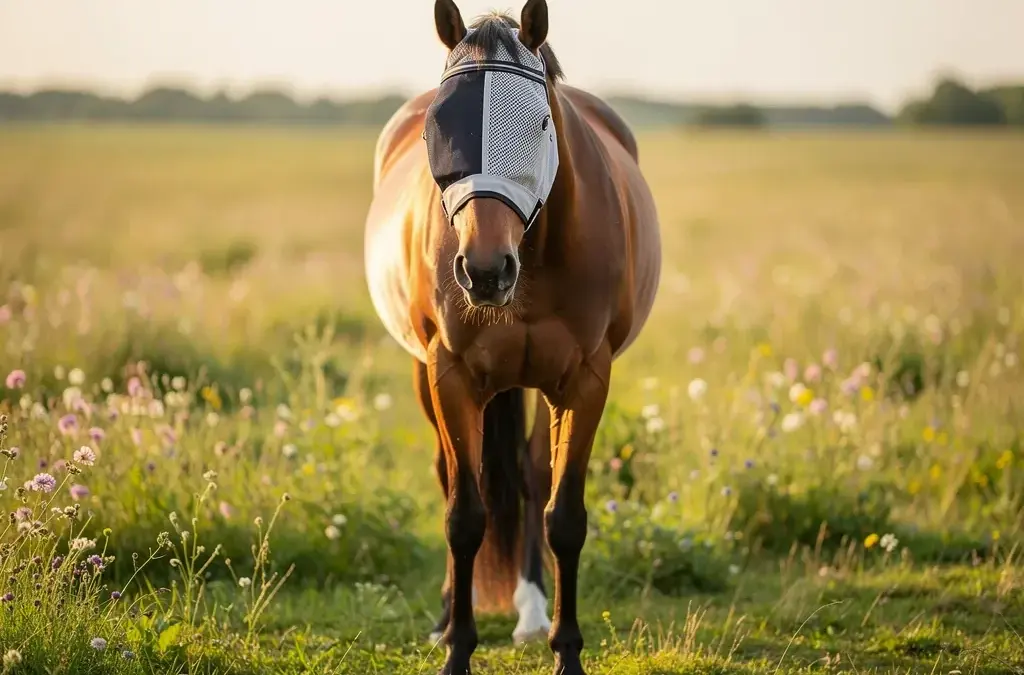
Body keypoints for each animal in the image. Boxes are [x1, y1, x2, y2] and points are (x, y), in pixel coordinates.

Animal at [363, 1, 661, 672]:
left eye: (540, 122)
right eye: (438, 129)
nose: (483, 270)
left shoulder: (585, 380)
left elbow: (563, 516)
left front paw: (566, 652)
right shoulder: (450, 374)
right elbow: (463, 514)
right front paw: (456, 648)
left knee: (528, 477)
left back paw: (530, 611)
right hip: (429, 374)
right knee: (450, 476)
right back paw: (447, 617)